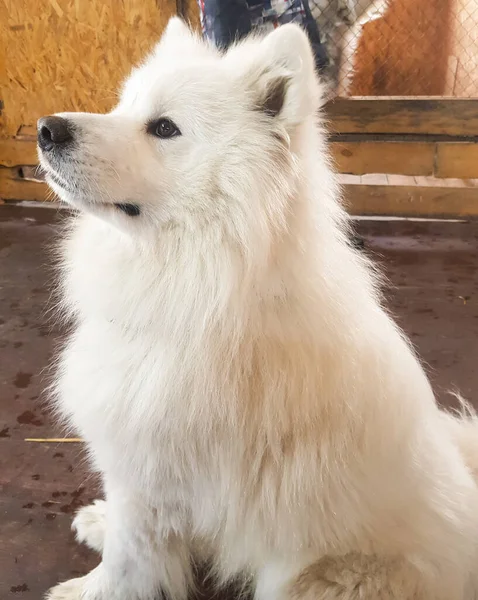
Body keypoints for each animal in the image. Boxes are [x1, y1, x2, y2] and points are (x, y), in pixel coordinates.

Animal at [38, 16, 478, 600]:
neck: (212, 286)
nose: (46, 128)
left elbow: (131, 556)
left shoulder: (150, 469)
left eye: (164, 128)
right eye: (121, 108)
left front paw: (91, 590)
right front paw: (102, 524)